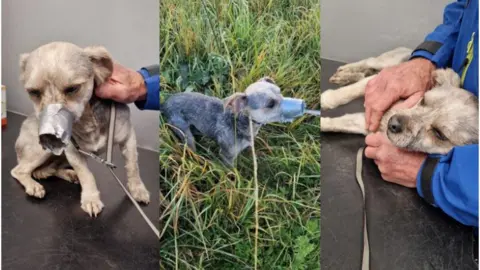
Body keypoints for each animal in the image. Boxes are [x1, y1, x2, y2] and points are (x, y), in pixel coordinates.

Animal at [10, 42, 150, 217]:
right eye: (33, 92)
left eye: (72, 88)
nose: (49, 135)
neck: (87, 122)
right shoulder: (72, 152)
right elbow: (86, 174)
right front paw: (90, 199)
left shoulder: (128, 138)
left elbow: (133, 167)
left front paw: (138, 189)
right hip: (40, 152)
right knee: (19, 171)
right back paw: (33, 185)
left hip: (57, 155)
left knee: (48, 169)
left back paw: (68, 174)